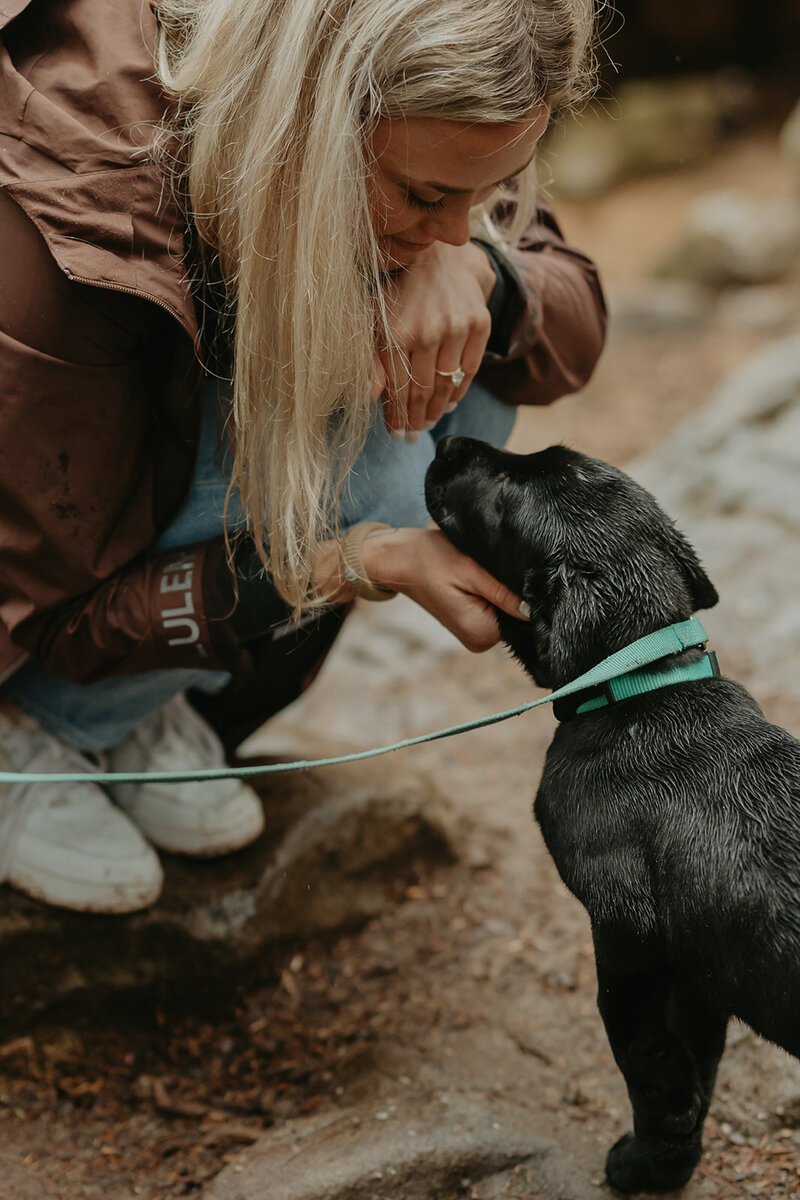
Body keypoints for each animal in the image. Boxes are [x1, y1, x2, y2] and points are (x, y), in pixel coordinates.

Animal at [424, 436, 800, 1195]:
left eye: (502, 494)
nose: (447, 442)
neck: (639, 686)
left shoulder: (624, 932)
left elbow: (650, 1066)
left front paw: (643, 1165)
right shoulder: (697, 969)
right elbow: (697, 1064)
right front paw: (673, 1164)